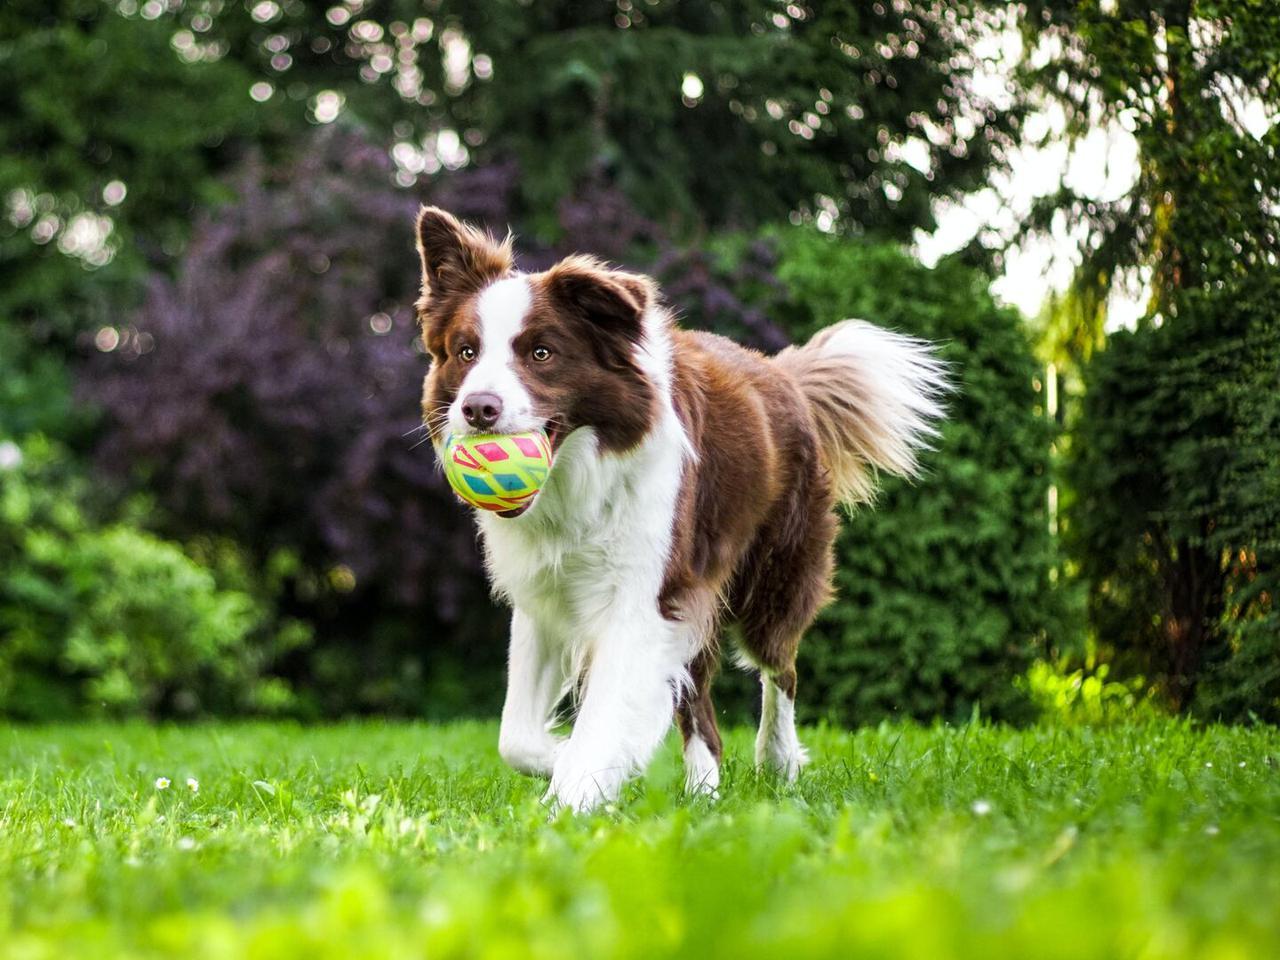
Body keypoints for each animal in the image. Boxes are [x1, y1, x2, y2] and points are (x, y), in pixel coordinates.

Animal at [414, 208, 947, 814]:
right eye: (466, 352)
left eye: (541, 354)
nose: (478, 408)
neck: (579, 477)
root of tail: (783, 374)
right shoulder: (547, 596)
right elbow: (516, 737)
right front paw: (572, 762)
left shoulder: (645, 596)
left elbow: (603, 716)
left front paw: (574, 796)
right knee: (701, 707)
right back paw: (704, 792)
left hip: (773, 576)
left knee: (780, 668)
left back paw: (778, 761)